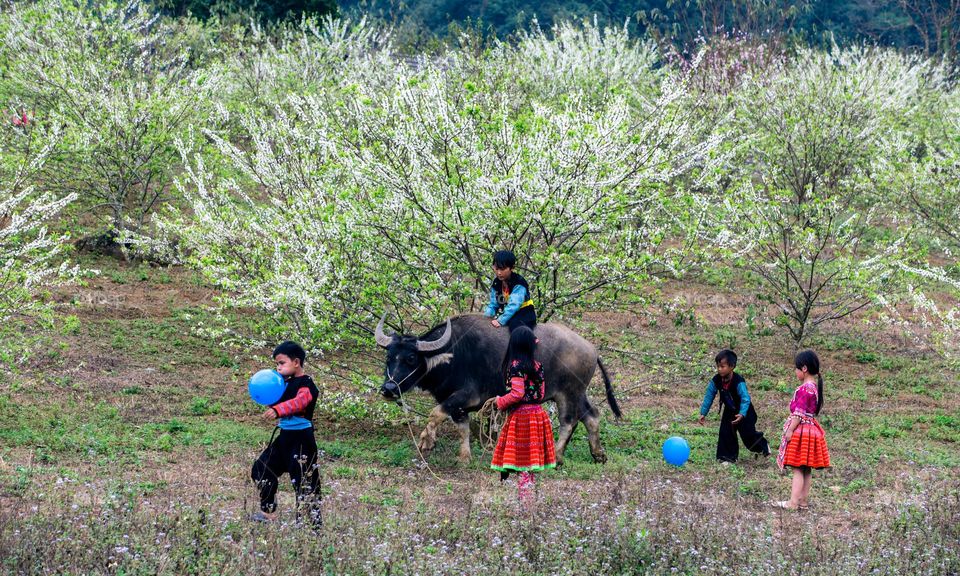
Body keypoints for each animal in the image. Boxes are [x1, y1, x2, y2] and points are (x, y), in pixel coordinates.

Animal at [376, 312, 624, 466]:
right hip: (579, 392)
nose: (388, 388)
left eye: (410, 358)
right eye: (389, 357)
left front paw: (426, 441)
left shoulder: (466, 396)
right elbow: (462, 427)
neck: (453, 353)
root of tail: (591, 348)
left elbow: (435, 413)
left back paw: (558, 457)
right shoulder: (457, 405)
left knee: (568, 422)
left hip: (568, 393)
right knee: (591, 416)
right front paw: (464, 457)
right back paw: (598, 454)